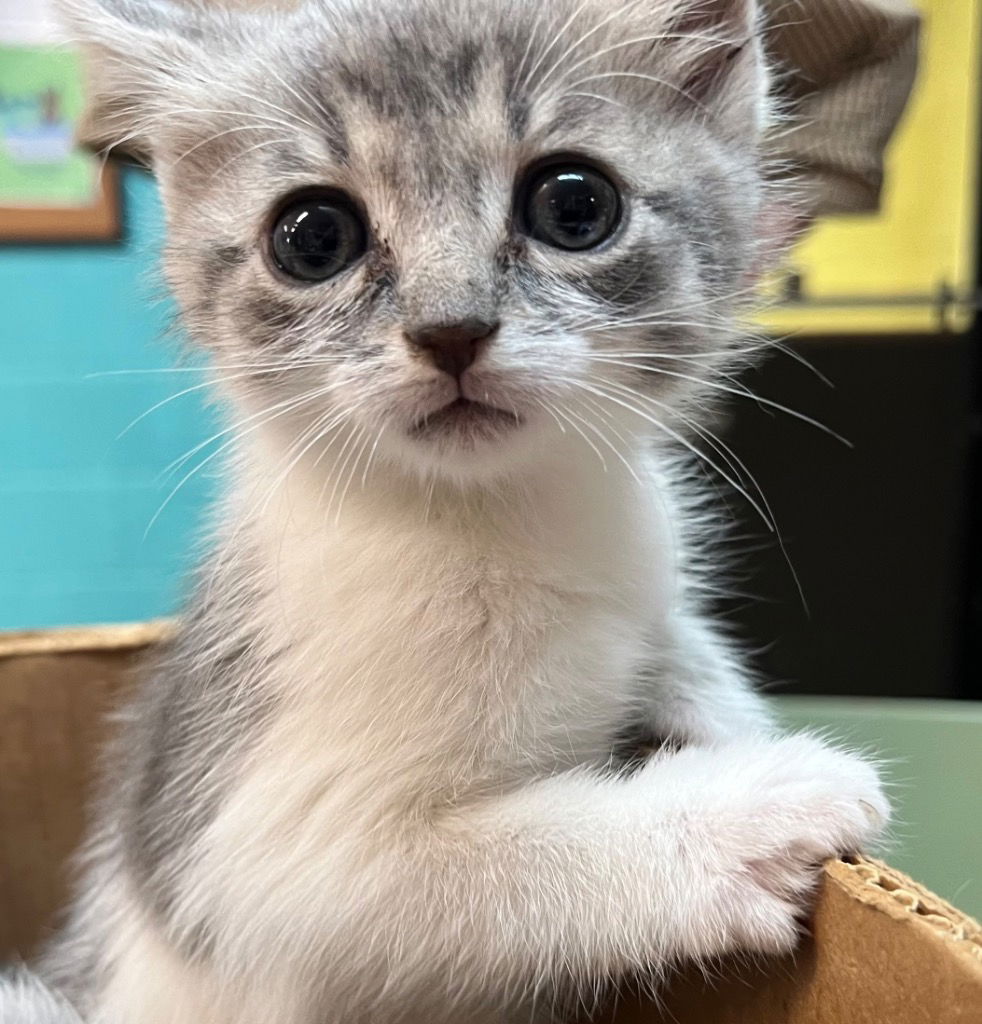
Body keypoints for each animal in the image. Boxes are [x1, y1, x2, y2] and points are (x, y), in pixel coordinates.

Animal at [1, 2, 892, 1024]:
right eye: (312, 236)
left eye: (575, 205)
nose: (451, 329)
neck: (496, 519)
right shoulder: (261, 865)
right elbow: (497, 863)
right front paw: (760, 802)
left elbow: (681, 645)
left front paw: (726, 714)